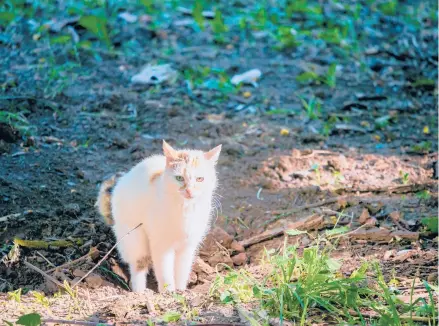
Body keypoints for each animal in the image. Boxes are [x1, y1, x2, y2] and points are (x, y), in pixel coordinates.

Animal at [95, 140, 222, 292]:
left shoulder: (187, 246)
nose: (189, 191)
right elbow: (165, 272)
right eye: (179, 178)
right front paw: (168, 292)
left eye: (200, 179)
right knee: (138, 265)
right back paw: (139, 292)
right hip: (135, 238)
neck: (184, 208)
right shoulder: (161, 245)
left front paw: (180, 291)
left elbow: (182, 271)